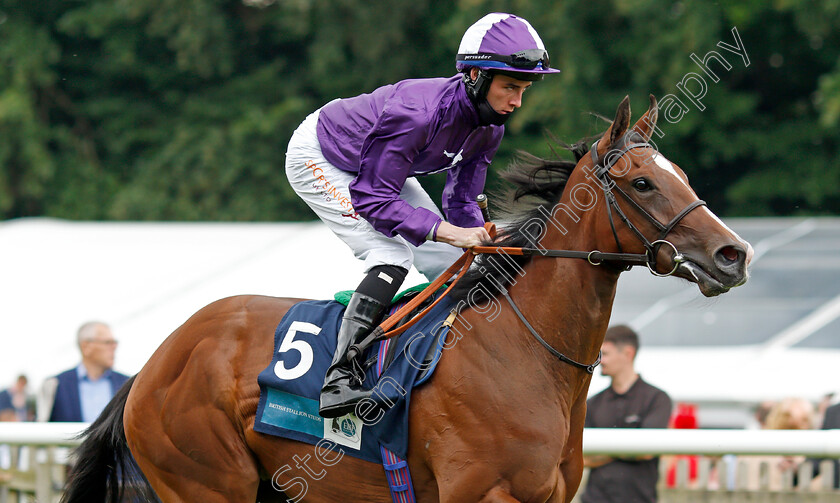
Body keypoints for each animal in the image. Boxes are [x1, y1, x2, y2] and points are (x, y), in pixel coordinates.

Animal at [62, 95, 752, 503]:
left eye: (681, 175)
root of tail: (153, 364)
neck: (523, 353)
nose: (734, 254)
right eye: (642, 183)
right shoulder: (480, 495)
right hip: (205, 482)